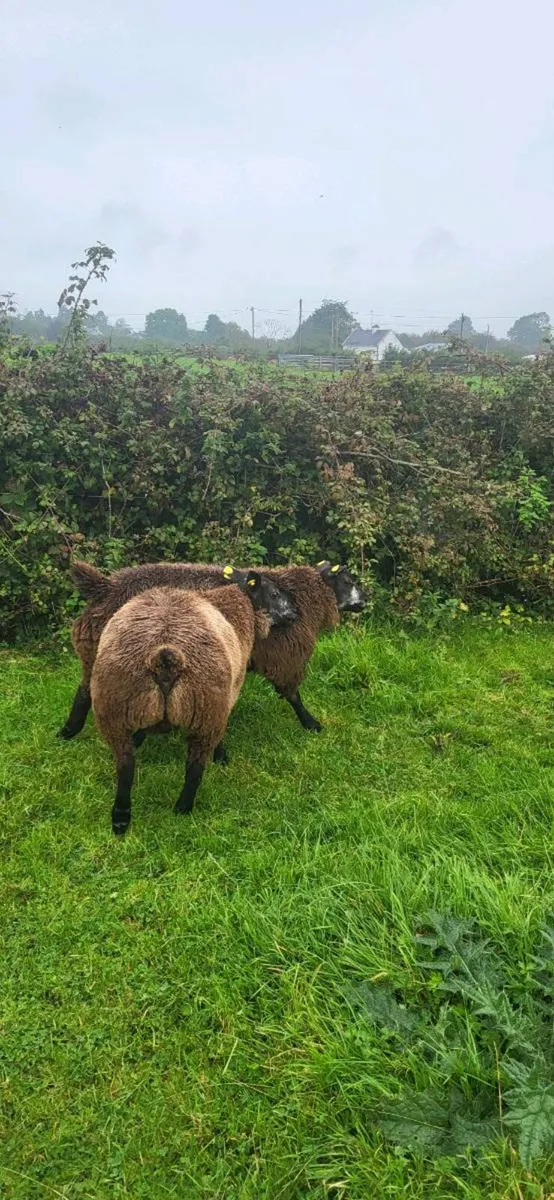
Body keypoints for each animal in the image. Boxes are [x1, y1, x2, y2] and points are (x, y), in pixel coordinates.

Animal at [91, 569, 287, 834]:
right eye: (274, 593)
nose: (294, 613)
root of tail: (164, 657)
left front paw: (140, 736)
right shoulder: (230, 692)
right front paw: (221, 756)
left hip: (112, 708)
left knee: (126, 766)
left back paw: (121, 817)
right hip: (206, 709)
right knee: (194, 768)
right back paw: (182, 809)